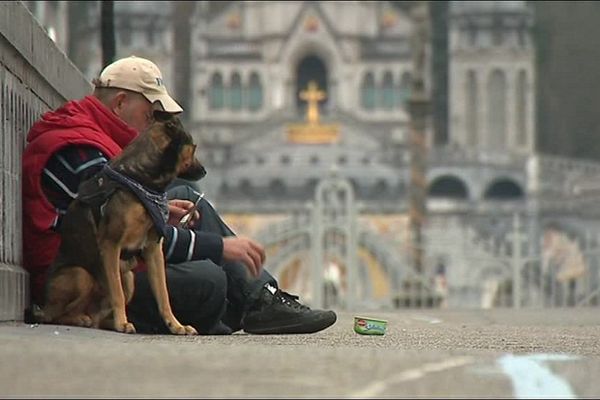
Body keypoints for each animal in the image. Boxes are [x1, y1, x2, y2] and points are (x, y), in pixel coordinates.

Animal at [38, 115, 206, 334]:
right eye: (193, 148)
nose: (204, 171)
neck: (144, 181)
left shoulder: (153, 249)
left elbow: (163, 295)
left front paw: (175, 325)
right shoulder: (111, 243)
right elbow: (116, 292)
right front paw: (121, 322)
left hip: (129, 278)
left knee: (97, 316)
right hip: (81, 276)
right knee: (56, 314)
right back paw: (83, 320)